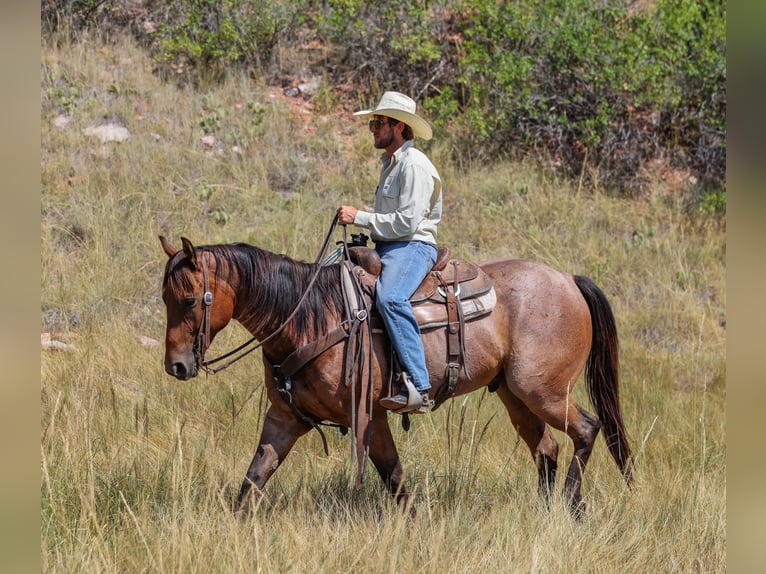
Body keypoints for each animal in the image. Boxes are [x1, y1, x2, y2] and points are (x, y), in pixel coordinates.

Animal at [159, 235, 634, 517]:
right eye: (165, 297)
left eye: (189, 299)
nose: (176, 366)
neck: (310, 318)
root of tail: (567, 280)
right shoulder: (284, 420)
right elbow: (253, 479)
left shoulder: (370, 417)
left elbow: (393, 477)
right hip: (515, 395)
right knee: (547, 448)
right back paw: (546, 511)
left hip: (545, 392)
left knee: (587, 429)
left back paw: (572, 506)